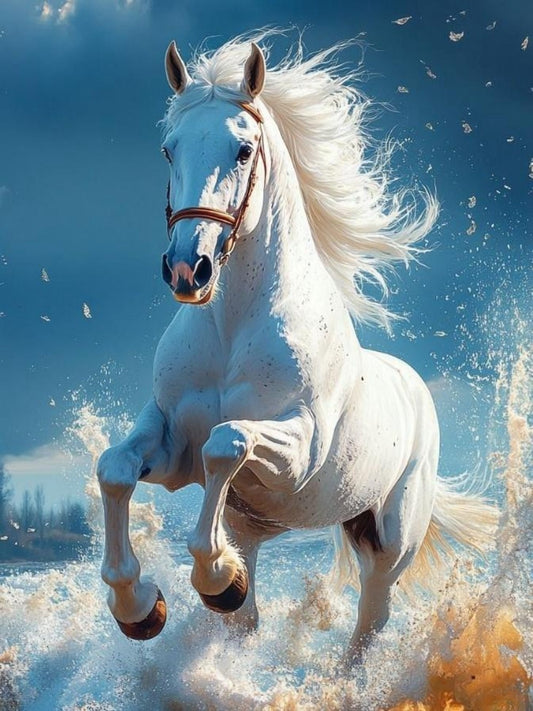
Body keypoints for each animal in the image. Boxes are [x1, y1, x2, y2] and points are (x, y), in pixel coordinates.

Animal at [96, 34, 498, 664]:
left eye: (242, 150)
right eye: (168, 149)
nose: (188, 269)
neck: (233, 329)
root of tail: (416, 390)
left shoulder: (298, 450)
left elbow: (227, 442)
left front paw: (216, 578)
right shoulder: (171, 443)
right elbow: (115, 468)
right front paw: (139, 607)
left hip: (389, 545)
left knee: (370, 622)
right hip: (271, 527)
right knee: (249, 611)